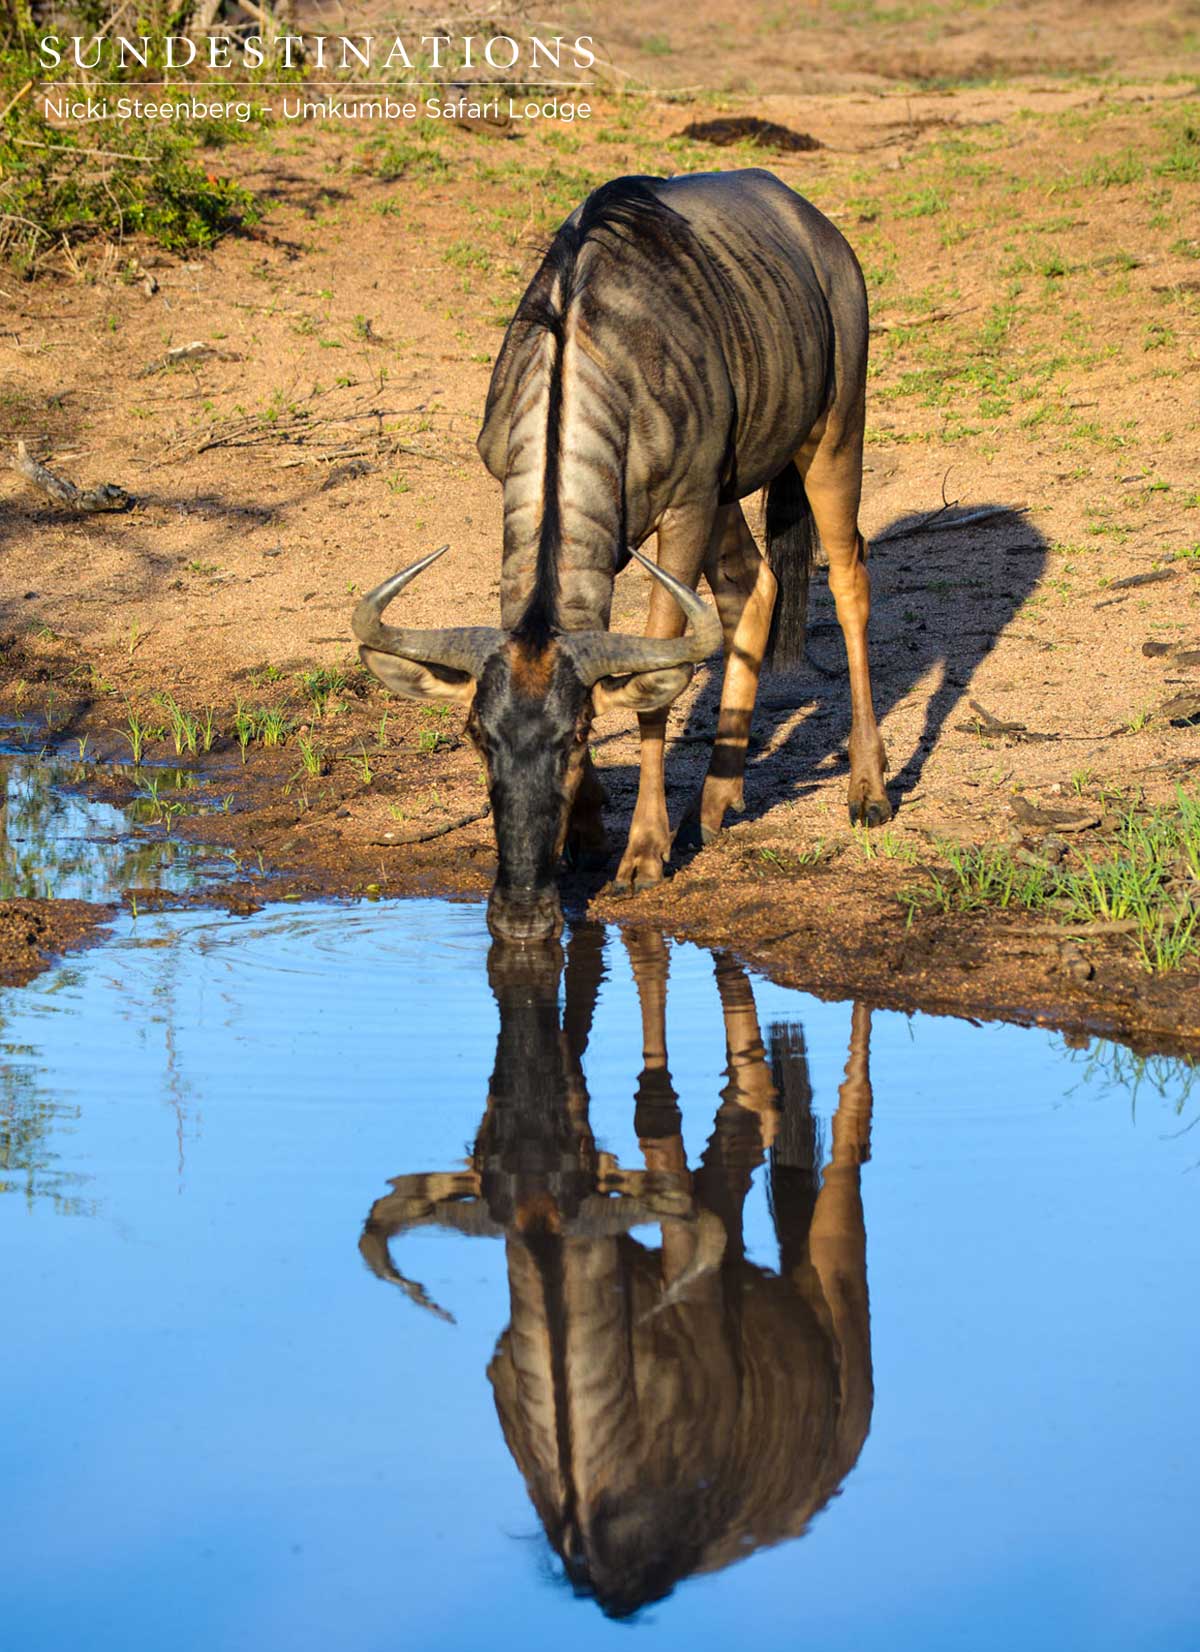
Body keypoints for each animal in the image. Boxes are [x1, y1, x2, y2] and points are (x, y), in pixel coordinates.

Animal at [353, 170, 890, 941]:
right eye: (477, 736)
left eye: (575, 739)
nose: (521, 912)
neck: (583, 348)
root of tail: (822, 234)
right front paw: (586, 832)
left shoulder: (686, 508)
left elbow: (656, 678)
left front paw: (643, 853)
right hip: (733, 487)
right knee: (752, 586)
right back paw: (716, 801)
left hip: (834, 434)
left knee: (849, 581)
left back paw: (868, 789)